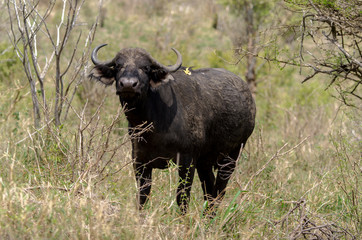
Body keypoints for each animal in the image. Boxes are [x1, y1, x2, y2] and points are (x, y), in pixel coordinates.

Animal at [89, 44, 256, 214]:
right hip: (205, 161)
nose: (128, 84)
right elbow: (142, 196)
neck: (154, 124)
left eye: (146, 67)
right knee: (209, 190)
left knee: (220, 190)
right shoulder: (140, 161)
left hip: (231, 156)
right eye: (118, 65)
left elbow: (182, 197)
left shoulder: (187, 161)